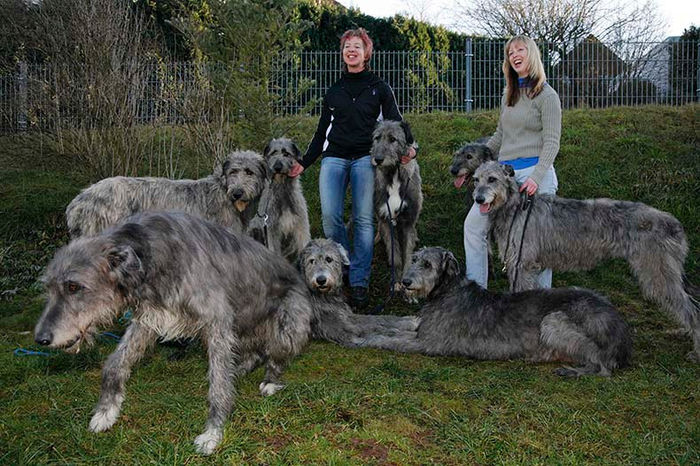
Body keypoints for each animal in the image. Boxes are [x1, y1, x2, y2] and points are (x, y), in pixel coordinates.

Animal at [32, 211, 312, 456]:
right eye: (49, 288)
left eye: (73, 286)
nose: (41, 339)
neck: (150, 255)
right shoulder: (150, 320)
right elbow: (114, 364)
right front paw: (106, 411)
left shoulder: (217, 322)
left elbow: (218, 386)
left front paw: (213, 432)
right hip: (241, 329)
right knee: (252, 353)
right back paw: (240, 367)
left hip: (286, 329)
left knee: (275, 355)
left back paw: (270, 381)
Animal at [360, 246, 636, 376]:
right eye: (415, 259)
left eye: (427, 264)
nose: (405, 282)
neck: (447, 291)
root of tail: (622, 333)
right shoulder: (420, 328)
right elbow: (392, 327)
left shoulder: (429, 343)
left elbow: (390, 339)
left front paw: (366, 339)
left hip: (554, 320)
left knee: (603, 367)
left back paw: (573, 370)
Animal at [370, 120, 424, 286]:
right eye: (377, 138)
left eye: (393, 139)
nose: (377, 159)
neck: (394, 174)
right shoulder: (387, 220)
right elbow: (396, 256)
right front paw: (396, 281)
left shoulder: (408, 221)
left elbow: (407, 254)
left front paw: (406, 279)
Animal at [474, 160, 696, 360]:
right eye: (476, 180)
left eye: (492, 179)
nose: (478, 199)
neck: (514, 206)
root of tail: (675, 224)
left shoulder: (522, 263)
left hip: (657, 272)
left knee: (690, 309)